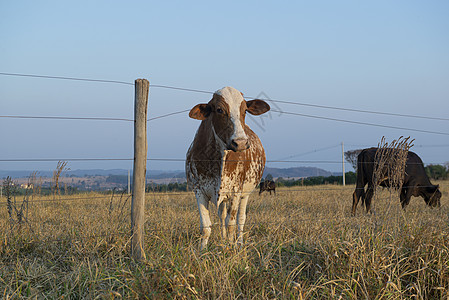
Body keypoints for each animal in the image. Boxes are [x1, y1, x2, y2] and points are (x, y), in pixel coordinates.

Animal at [184, 85, 268, 250]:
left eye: (245, 110)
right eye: (219, 110)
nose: (240, 143)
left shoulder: (236, 191)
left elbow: (231, 223)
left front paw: (231, 248)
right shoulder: (199, 190)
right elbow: (206, 226)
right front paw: (202, 250)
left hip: (245, 194)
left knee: (240, 219)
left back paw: (239, 243)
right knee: (222, 216)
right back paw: (223, 241)